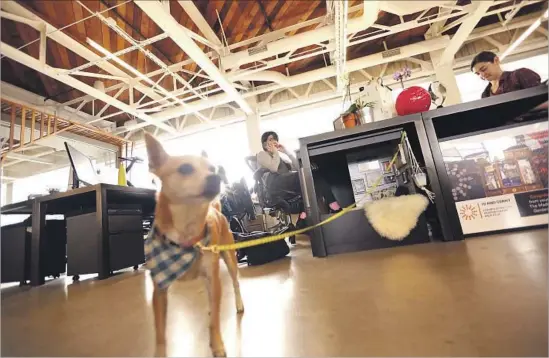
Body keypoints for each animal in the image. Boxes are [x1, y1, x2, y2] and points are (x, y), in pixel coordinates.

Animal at [143, 133, 244, 356]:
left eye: (212, 169)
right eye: (185, 169)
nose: (216, 177)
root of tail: (216, 209)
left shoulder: (214, 279)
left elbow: (215, 323)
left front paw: (217, 345)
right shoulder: (159, 291)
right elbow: (160, 331)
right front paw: (159, 353)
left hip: (229, 259)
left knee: (234, 283)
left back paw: (238, 304)